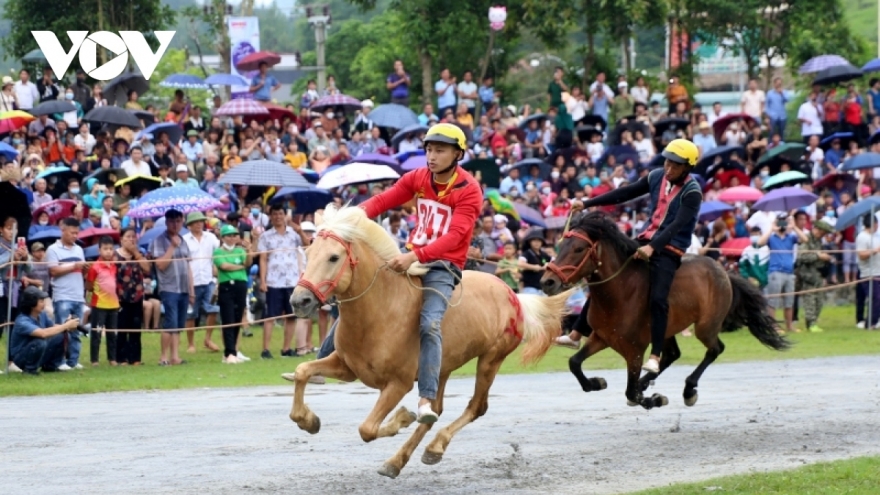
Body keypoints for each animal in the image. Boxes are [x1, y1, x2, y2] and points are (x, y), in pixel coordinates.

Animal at [284, 204, 572, 476]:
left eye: (334, 257)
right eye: (308, 253)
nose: (300, 301)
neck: (381, 310)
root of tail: (512, 294)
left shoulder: (398, 384)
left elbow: (367, 428)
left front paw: (402, 417)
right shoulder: (347, 368)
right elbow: (302, 371)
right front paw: (308, 420)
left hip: (491, 360)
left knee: (475, 407)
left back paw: (434, 446)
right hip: (441, 370)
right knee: (435, 412)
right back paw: (397, 462)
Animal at [540, 213, 788, 410]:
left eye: (579, 249)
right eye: (560, 247)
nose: (547, 282)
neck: (621, 293)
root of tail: (723, 271)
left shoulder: (635, 351)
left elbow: (630, 392)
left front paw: (654, 399)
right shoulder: (601, 337)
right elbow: (574, 363)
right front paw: (596, 382)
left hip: (705, 327)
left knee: (715, 349)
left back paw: (688, 390)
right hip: (668, 330)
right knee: (671, 355)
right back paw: (647, 382)